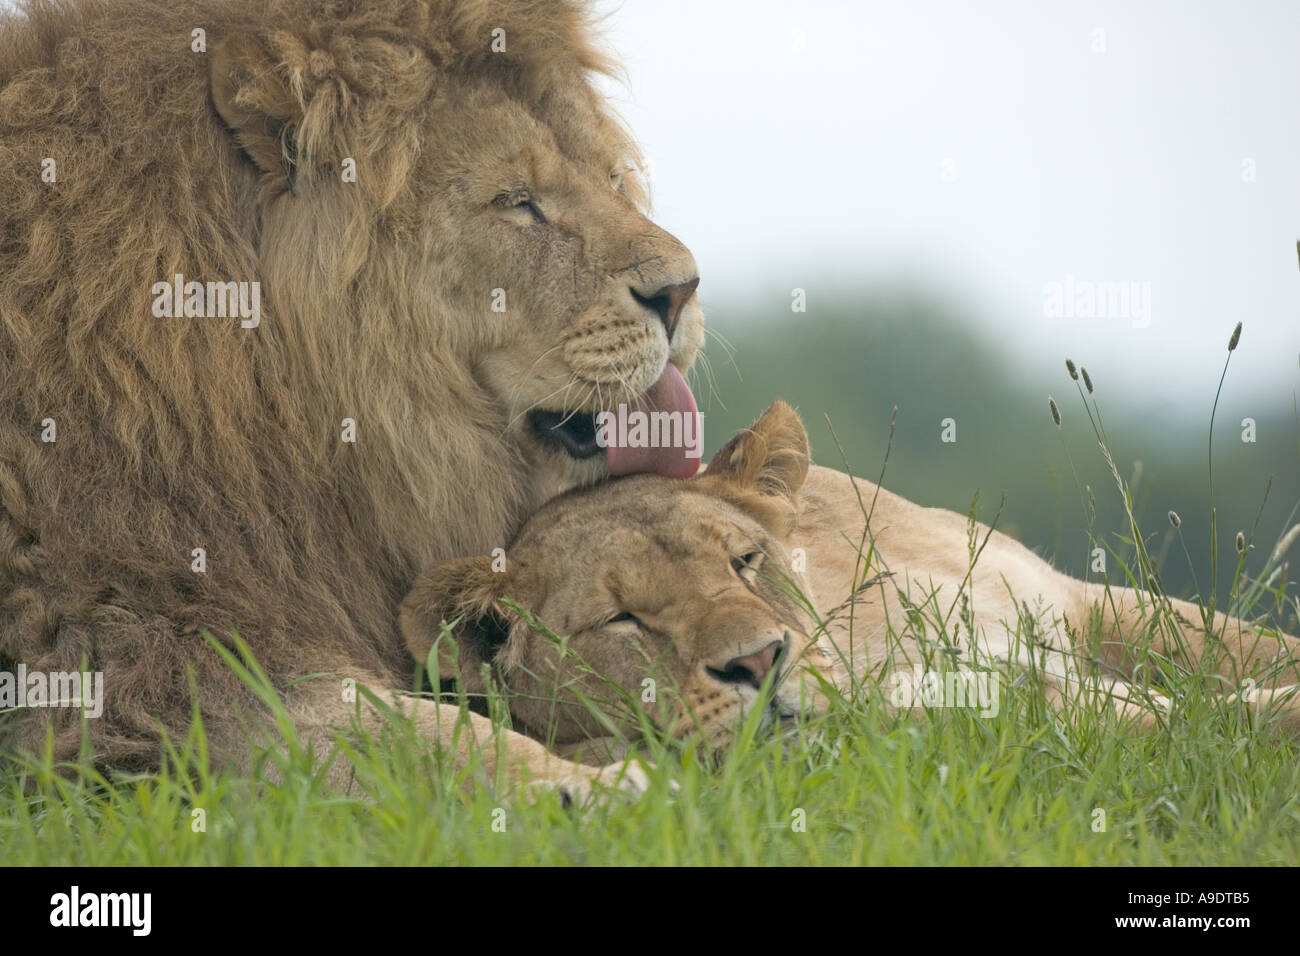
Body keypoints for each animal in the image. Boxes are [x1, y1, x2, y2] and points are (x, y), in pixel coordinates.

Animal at [0, 0, 704, 801]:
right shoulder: (127, 661)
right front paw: (604, 787)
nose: (684, 289)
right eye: (518, 203)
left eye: (611, 179)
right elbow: (411, 736)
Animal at [402, 401, 1300, 758]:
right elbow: (1198, 720)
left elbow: (1243, 651)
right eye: (623, 621)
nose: (758, 663)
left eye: (744, 561)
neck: (866, 634)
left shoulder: (1081, 607)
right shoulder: (998, 714)